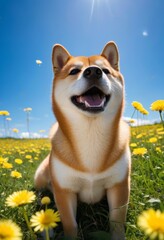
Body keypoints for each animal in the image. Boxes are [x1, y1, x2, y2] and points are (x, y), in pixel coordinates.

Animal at [34, 41, 131, 240]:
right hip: (41, 175)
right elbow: (70, 224)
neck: (90, 134)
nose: (93, 71)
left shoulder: (119, 185)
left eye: (106, 70)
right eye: (74, 71)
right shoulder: (65, 191)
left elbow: (117, 222)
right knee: (41, 194)